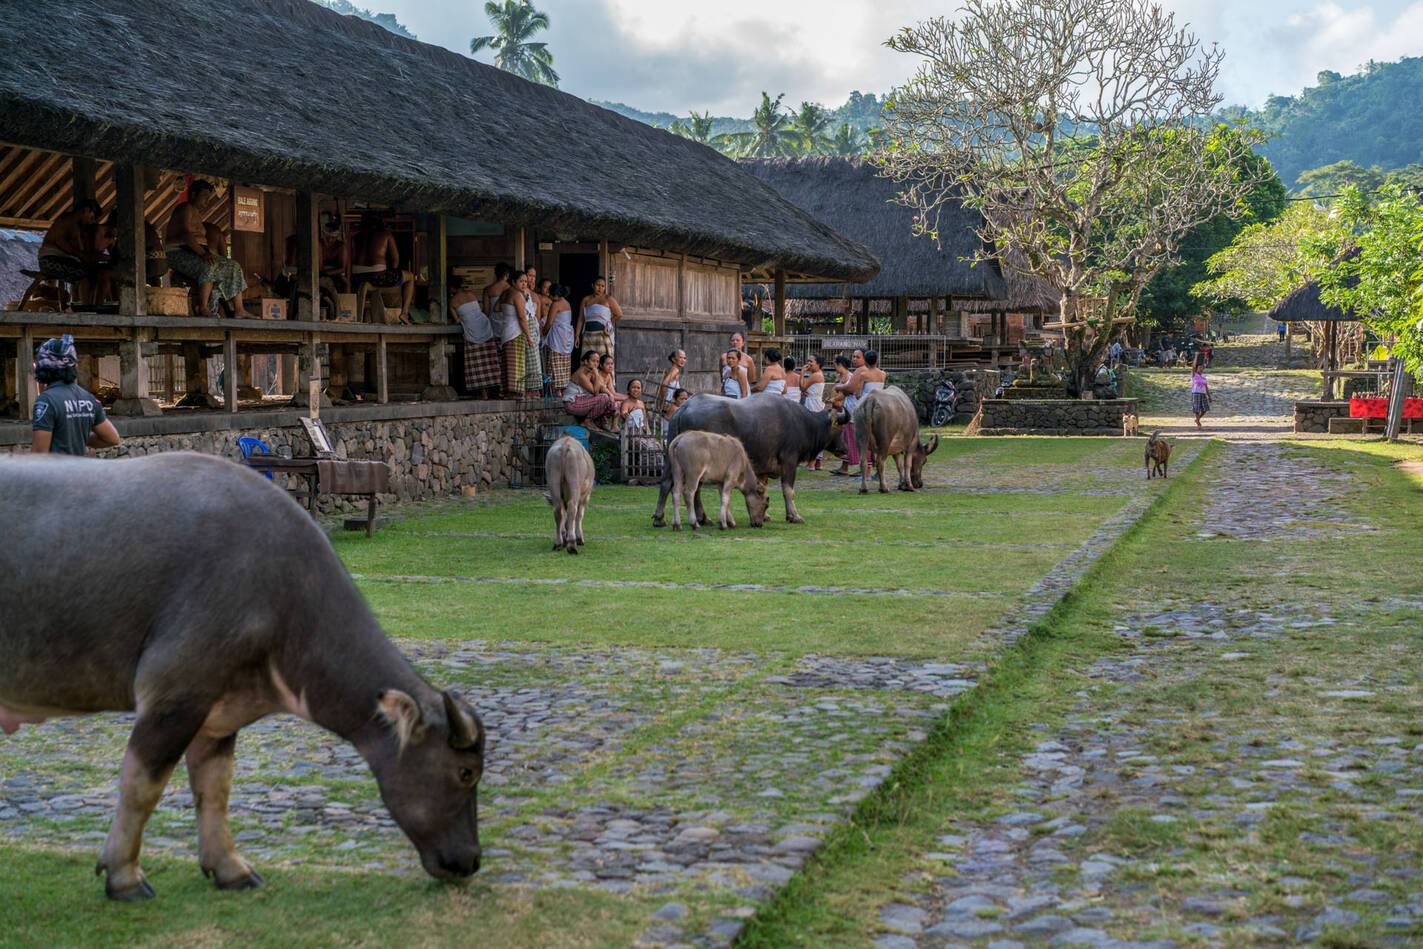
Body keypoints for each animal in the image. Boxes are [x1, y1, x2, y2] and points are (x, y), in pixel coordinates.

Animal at [0, 455, 486, 904]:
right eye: (466, 772)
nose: (471, 860)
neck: (280, 599)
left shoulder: (218, 716)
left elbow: (214, 791)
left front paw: (230, 868)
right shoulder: (173, 698)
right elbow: (141, 789)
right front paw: (125, 876)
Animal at [651, 392, 842, 526]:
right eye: (842, 427)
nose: (844, 449)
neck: (804, 423)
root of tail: (684, 407)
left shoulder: (763, 468)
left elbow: (763, 489)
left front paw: (765, 516)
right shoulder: (789, 460)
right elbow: (788, 490)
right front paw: (793, 516)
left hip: (671, 458)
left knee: (666, 483)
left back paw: (660, 518)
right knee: (694, 489)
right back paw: (702, 518)